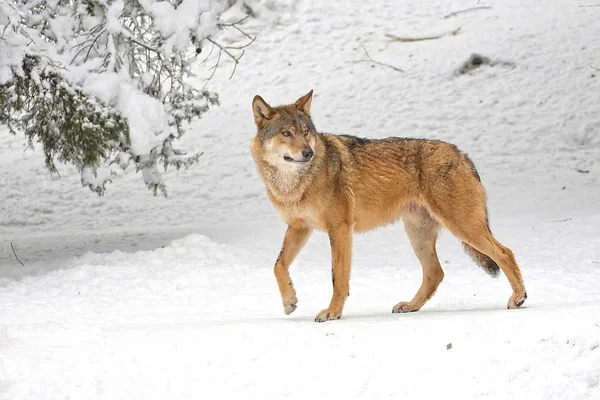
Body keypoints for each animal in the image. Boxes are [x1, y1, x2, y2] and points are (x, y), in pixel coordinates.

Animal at [248, 90, 524, 322]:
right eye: (286, 133)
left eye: (306, 132)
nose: (308, 153)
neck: (295, 183)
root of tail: (463, 155)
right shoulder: (299, 227)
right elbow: (278, 265)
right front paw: (289, 301)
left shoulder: (340, 229)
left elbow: (338, 278)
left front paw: (332, 312)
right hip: (418, 235)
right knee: (435, 273)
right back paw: (410, 306)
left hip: (462, 227)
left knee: (505, 252)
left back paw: (518, 298)